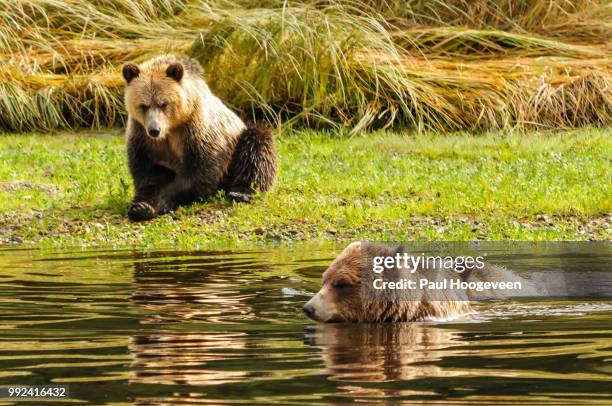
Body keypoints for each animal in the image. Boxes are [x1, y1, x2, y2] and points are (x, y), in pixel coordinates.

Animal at [120, 55, 278, 220]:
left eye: (163, 104)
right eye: (143, 105)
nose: (154, 130)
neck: (172, 127)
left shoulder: (196, 130)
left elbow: (200, 169)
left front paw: (162, 202)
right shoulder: (141, 136)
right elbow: (148, 174)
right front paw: (141, 206)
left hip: (240, 142)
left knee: (256, 147)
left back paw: (241, 192)